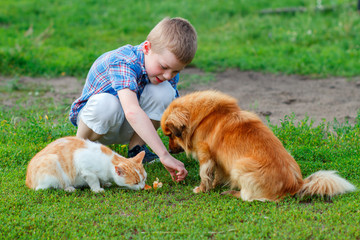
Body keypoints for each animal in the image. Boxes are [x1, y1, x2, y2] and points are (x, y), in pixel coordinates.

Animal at [162, 90, 356, 201]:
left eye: (170, 135)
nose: (169, 150)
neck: (203, 118)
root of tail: (296, 184)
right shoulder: (219, 161)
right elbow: (216, 175)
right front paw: (215, 185)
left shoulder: (206, 156)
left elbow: (205, 175)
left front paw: (202, 189)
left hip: (240, 165)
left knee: (248, 197)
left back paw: (232, 193)